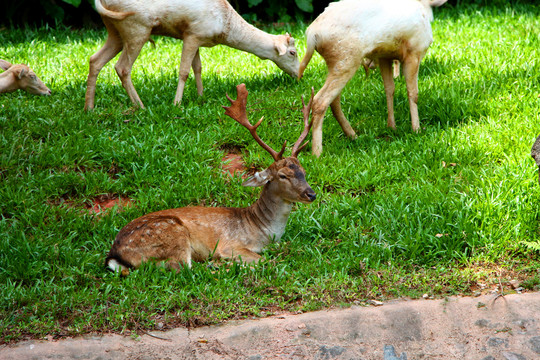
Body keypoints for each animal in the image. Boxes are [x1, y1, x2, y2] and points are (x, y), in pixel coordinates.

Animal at [86, 0, 302, 109]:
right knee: (122, 67)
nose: (299, 75)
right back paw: (141, 106)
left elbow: (198, 67)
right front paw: (177, 104)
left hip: (114, 30)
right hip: (136, 27)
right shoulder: (192, 34)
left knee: (94, 60)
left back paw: (89, 108)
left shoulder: (196, 37)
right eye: (292, 52)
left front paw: (200, 96)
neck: (225, 26)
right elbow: (184, 71)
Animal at [105, 83, 316, 276]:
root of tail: (114, 255)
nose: (311, 194)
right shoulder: (230, 244)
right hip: (172, 235)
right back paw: (217, 265)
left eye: (304, 171)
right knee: (184, 269)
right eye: (283, 175)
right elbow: (266, 260)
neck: (263, 232)